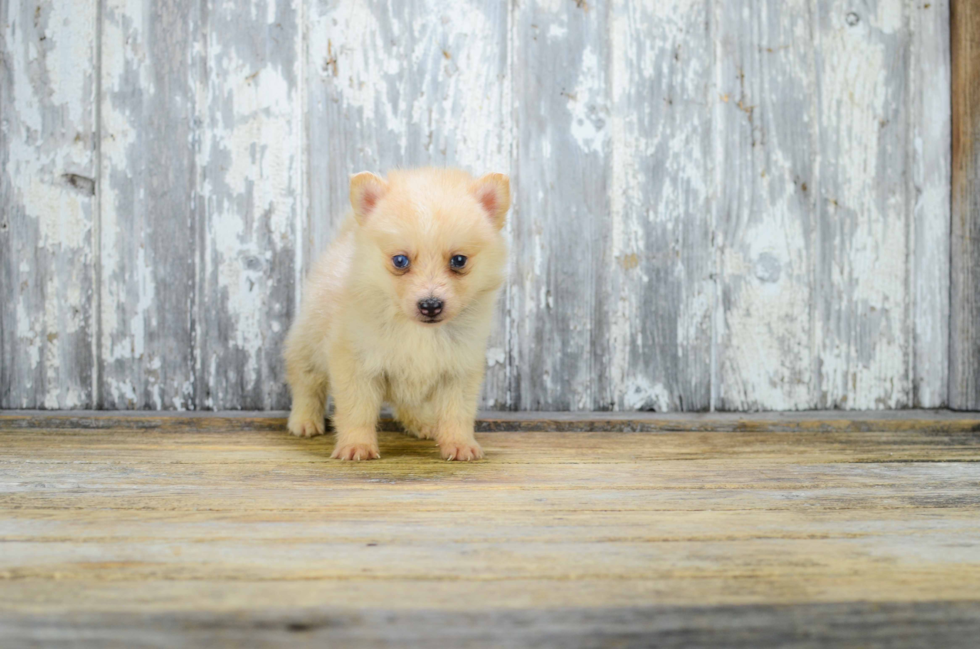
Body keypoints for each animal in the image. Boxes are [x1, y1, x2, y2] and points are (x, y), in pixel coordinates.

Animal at [282, 167, 510, 460]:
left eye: (459, 260)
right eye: (400, 261)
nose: (430, 304)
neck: (418, 331)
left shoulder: (459, 370)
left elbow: (457, 412)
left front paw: (459, 444)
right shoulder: (356, 364)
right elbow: (357, 411)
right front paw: (357, 445)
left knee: (409, 403)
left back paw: (424, 423)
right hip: (308, 343)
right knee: (306, 381)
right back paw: (304, 421)